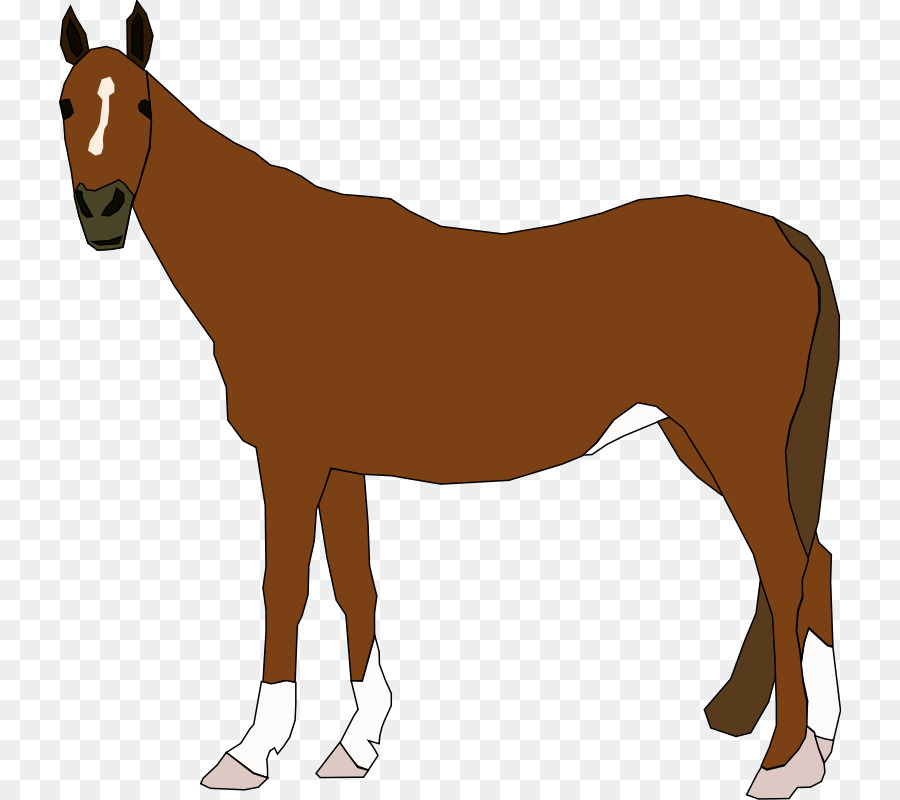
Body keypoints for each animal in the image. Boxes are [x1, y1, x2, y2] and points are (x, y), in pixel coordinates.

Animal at [58, 5, 840, 797]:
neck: (277, 264)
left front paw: (251, 752)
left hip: (733, 441)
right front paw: (358, 743)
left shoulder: (291, 459)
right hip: (703, 442)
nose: (103, 212)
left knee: (787, 570)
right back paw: (818, 741)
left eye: (142, 106)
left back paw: (783, 761)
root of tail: (784, 235)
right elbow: (355, 587)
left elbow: (285, 589)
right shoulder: (339, 465)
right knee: (816, 563)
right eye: (66, 104)